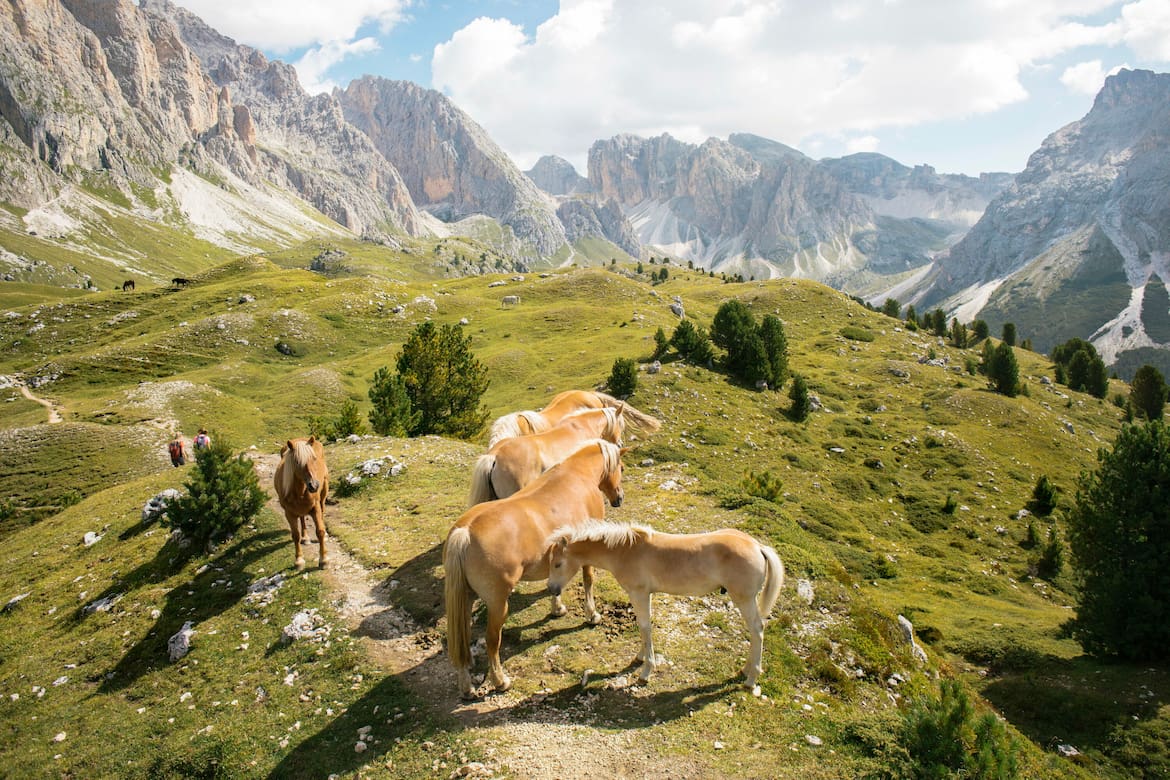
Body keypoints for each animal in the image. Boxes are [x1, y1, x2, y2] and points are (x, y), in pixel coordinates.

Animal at [273, 437, 329, 570]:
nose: (314, 485)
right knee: (302, 519)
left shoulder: (315, 507)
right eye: (297, 462)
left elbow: (320, 531)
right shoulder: (289, 513)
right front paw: (299, 560)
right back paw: (305, 537)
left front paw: (324, 560)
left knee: (323, 509)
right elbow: (295, 535)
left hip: (324, 493)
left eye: (314, 458)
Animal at [439, 439, 627, 701]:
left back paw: (466, 687)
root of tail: (465, 532)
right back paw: (500, 681)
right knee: (492, 641)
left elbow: (555, 584)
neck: (577, 475)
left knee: (463, 640)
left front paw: (557, 609)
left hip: (465, 599)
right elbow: (588, 580)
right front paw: (592, 615)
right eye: (622, 468)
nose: (619, 497)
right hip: (498, 605)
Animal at [547, 521, 786, 692]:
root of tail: (758, 546)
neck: (625, 550)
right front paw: (641, 657)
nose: (551, 588)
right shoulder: (645, 595)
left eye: (558, 563)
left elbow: (645, 627)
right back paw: (745, 670)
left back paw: (751, 678)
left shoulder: (639, 594)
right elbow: (644, 626)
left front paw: (646, 671)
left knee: (757, 630)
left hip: (744, 599)